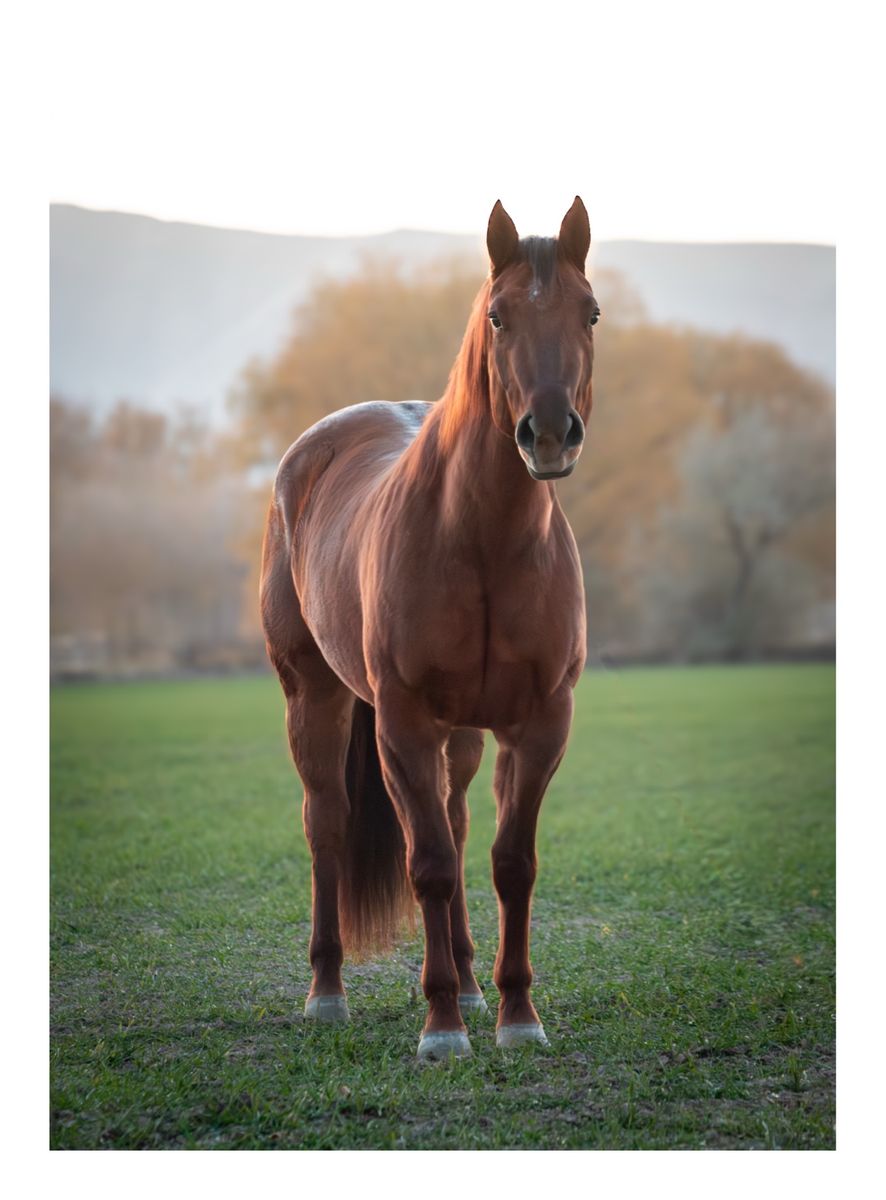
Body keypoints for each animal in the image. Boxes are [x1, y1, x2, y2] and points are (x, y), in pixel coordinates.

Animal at [260, 198, 598, 1059]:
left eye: (590, 312)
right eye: (498, 315)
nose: (550, 433)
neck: (479, 539)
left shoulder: (541, 723)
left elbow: (510, 863)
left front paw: (516, 1016)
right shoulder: (404, 724)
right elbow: (432, 867)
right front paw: (441, 1029)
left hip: (463, 735)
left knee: (456, 819)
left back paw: (474, 984)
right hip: (314, 699)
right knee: (328, 827)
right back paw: (328, 993)